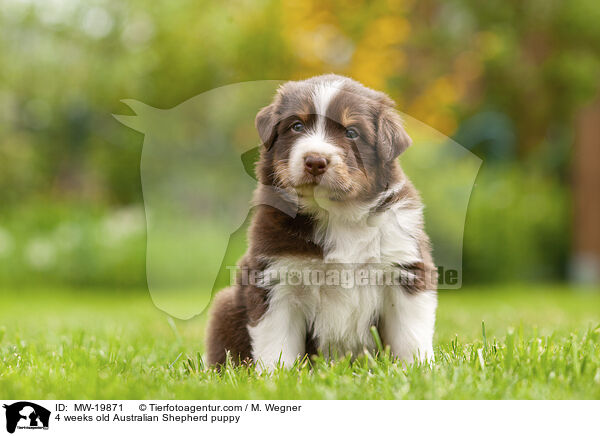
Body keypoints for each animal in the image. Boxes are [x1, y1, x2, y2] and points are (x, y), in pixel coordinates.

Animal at [206, 75, 436, 372]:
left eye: (352, 133)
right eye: (297, 126)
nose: (315, 161)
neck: (337, 215)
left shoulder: (404, 268)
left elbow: (410, 335)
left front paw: (419, 370)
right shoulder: (275, 279)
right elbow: (276, 343)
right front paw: (275, 376)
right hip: (226, 306)